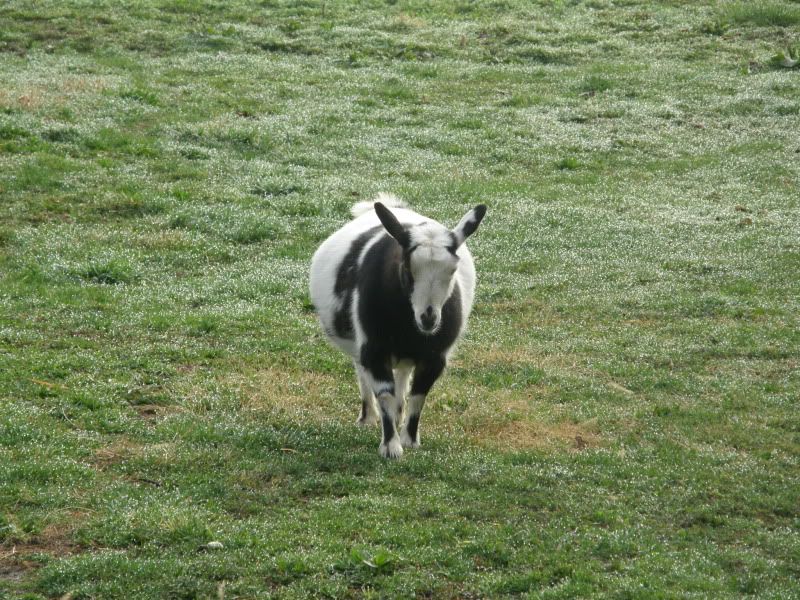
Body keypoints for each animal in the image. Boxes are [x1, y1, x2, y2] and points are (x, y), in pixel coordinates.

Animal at [309, 194, 487, 458]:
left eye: (453, 269)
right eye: (407, 267)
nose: (428, 318)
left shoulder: (435, 357)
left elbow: (418, 396)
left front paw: (410, 439)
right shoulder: (374, 348)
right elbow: (384, 393)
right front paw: (391, 447)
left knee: (402, 374)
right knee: (363, 372)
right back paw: (368, 417)